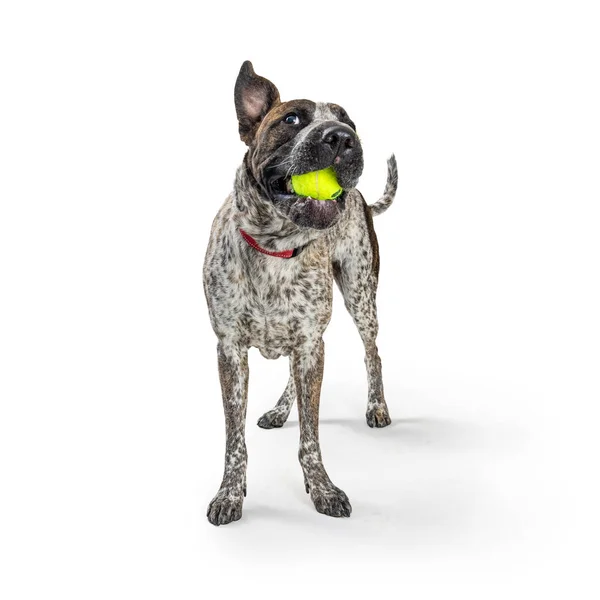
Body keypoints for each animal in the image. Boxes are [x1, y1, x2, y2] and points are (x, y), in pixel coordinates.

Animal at [204, 61, 396, 524]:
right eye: (291, 119)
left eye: (350, 123)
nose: (341, 137)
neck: (276, 246)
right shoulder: (229, 351)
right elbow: (233, 439)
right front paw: (229, 493)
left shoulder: (311, 344)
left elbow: (311, 435)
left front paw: (321, 487)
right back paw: (279, 409)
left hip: (361, 297)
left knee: (373, 354)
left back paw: (377, 406)